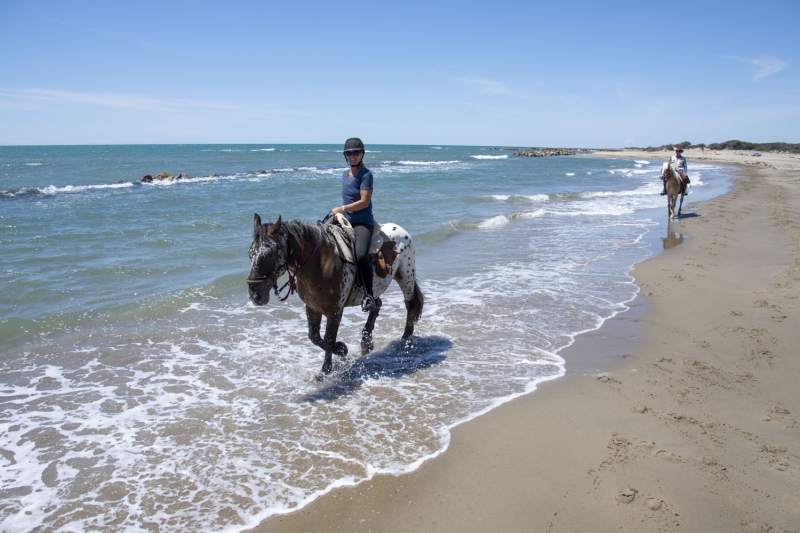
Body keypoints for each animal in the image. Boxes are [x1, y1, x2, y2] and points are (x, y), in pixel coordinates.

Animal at [247, 214, 424, 376]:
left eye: (270, 254)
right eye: (250, 253)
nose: (255, 295)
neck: (319, 262)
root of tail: (400, 230)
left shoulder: (335, 310)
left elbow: (329, 339)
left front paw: (326, 370)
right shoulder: (312, 308)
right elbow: (315, 337)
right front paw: (341, 349)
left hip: (405, 277)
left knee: (409, 304)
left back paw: (405, 339)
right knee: (377, 305)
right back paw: (366, 341)